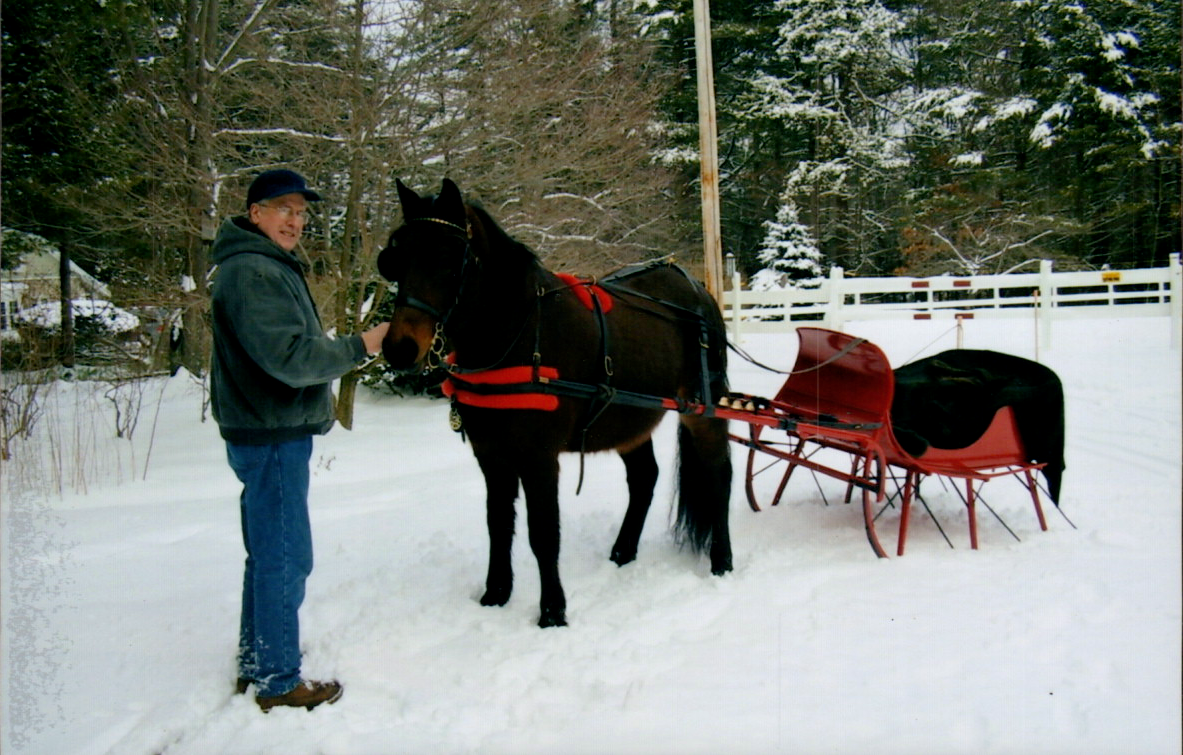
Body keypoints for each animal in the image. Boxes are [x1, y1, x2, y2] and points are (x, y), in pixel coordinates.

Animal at [377, 178, 733, 627]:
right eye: (397, 258)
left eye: (449, 259)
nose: (399, 348)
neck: (519, 331)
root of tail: (697, 287)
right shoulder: (491, 455)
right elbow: (499, 524)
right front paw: (495, 594)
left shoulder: (538, 457)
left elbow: (543, 533)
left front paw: (552, 611)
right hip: (628, 420)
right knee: (644, 479)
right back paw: (623, 552)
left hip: (704, 410)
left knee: (718, 476)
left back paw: (722, 560)